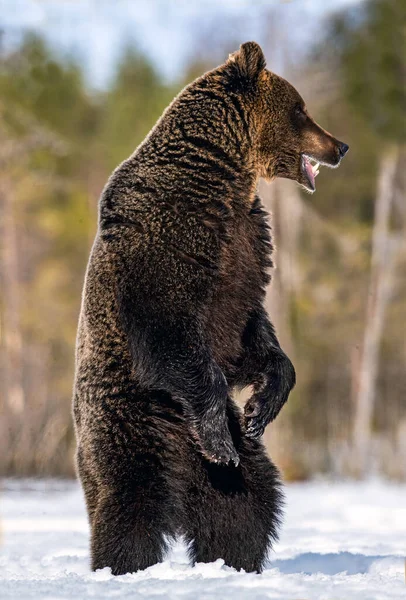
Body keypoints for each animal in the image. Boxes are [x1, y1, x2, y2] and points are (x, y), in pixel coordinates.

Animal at [73, 39, 348, 576]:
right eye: (301, 108)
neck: (222, 177)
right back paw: (123, 564)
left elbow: (253, 332)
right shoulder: (170, 234)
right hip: (130, 419)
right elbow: (168, 323)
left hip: (228, 466)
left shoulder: (245, 246)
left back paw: (234, 560)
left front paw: (262, 405)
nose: (340, 146)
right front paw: (219, 433)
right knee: (130, 499)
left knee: (245, 502)